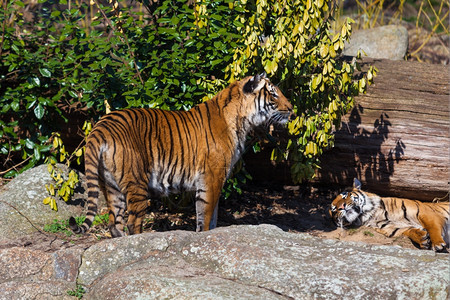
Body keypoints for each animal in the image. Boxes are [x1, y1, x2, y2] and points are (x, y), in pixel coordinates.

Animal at [69, 72, 296, 237]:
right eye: (274, 94)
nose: (292, 109)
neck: (241, 119)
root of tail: (100, 127)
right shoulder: (212, 178)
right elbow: (206, 216)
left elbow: (213, 217)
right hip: (136, 183)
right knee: (133, 223)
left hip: (110, 186)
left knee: (114, 223)